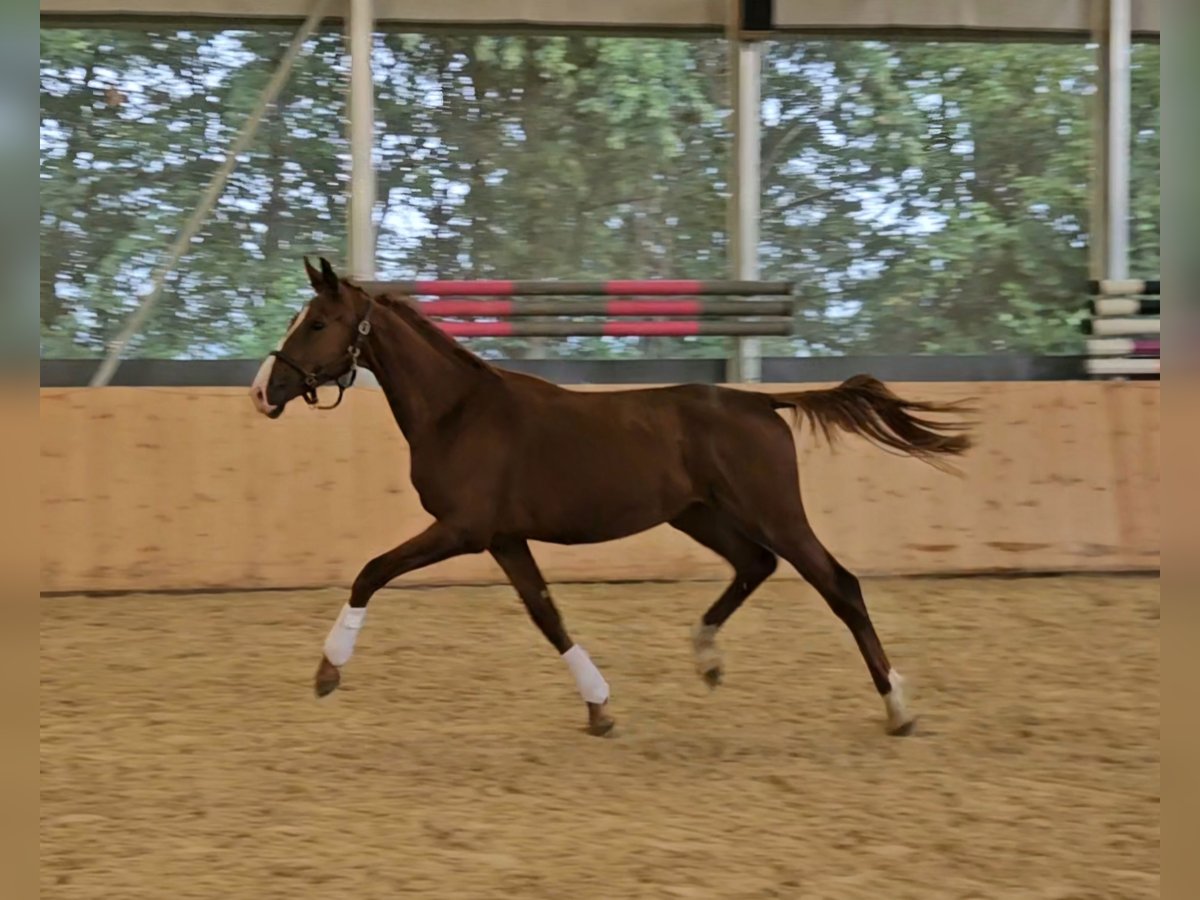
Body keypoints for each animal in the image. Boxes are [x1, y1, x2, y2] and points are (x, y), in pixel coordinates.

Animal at [248, 256, 969, 734]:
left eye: (318, 322)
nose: (263, 391)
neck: (459, 412)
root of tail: (762, 402)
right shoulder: (504, 538)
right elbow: (547, 615)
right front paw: (598, 706)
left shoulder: (462, 530)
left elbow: (370, 572)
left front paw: (327, 673)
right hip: (699, 514)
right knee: (754, 565)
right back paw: (706, 658)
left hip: (773, 512)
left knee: (839, 584)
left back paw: (897, 707)